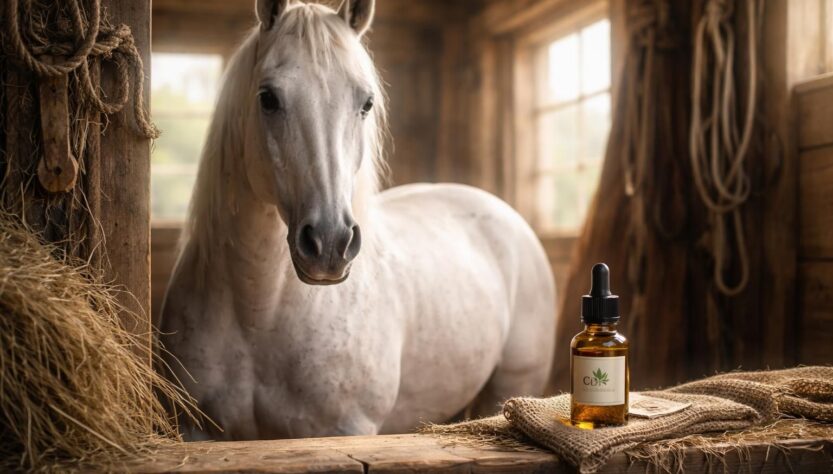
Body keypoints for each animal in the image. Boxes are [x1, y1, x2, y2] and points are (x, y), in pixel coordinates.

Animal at [160, 0, 556, 440]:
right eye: (268, 98)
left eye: (366, 103)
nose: (330, 244)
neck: (258, 315)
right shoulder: (195, 430)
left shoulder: (344, 429)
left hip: (510, 387)